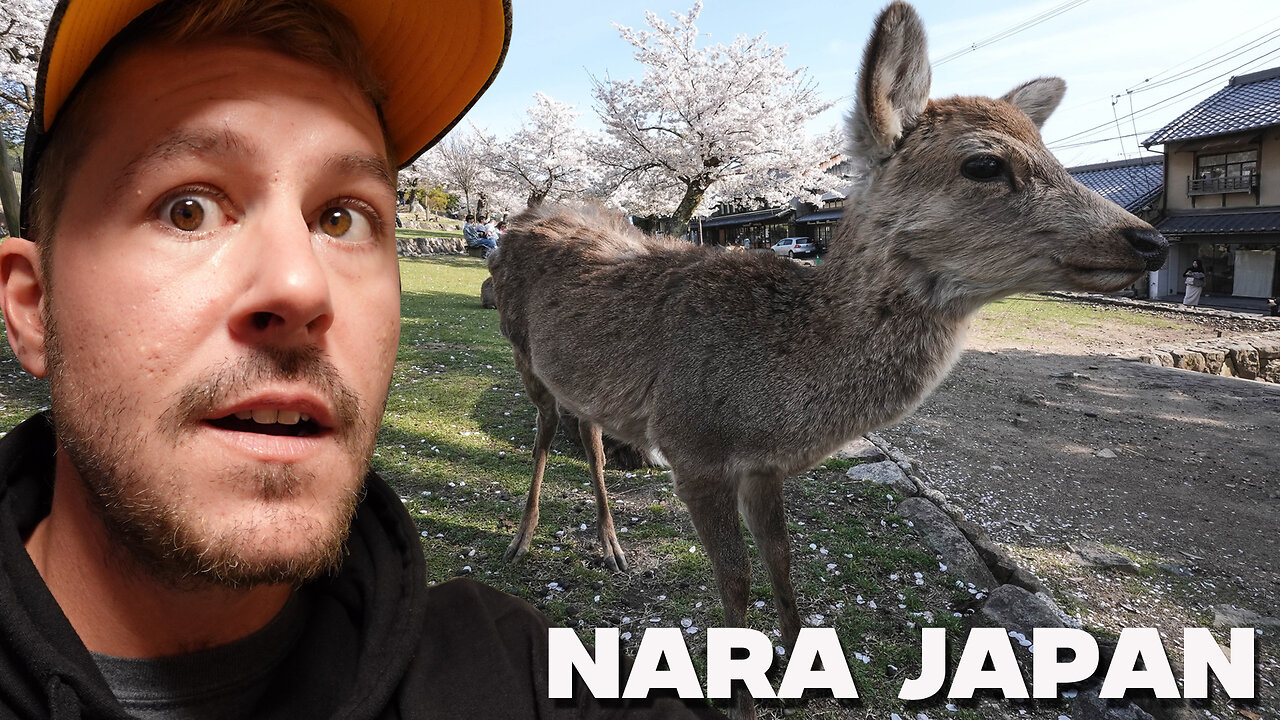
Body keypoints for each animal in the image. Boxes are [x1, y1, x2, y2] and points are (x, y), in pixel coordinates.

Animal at [483, 0, 1167, 707]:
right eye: (984, 164)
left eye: (1051, 151)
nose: (1150, 240)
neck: (779, 399)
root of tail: (521, 221)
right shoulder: (691, 445)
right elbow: (736, 584)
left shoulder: (761, 466)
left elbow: (783, 563)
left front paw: (802, 669)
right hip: (520, 349)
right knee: (544, 428)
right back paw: (522, 539)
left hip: (581, 376)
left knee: (588, 431)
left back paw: (612, 547)